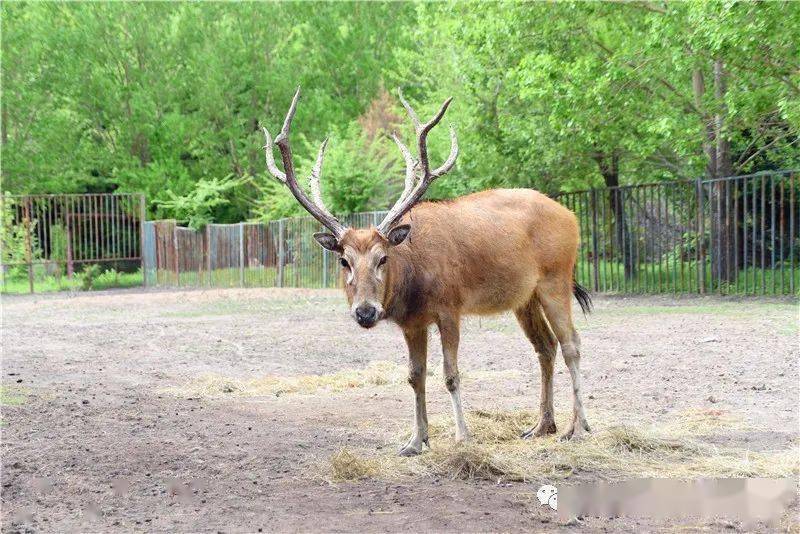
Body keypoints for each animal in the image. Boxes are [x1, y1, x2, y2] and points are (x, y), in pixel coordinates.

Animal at [260, 87, 592, 456]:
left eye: (383, 257)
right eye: (344, 261)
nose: (365, 311)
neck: (413, 282)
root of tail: (571, 217)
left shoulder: (450, 308)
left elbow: (450, 374)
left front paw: (463, 436)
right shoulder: (412, 324)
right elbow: (414, 375)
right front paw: (416, 440)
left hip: (556, 278)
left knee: (572, 343)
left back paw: (578, 428)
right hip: (525, 298)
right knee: (545, 347)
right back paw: (541, 426)